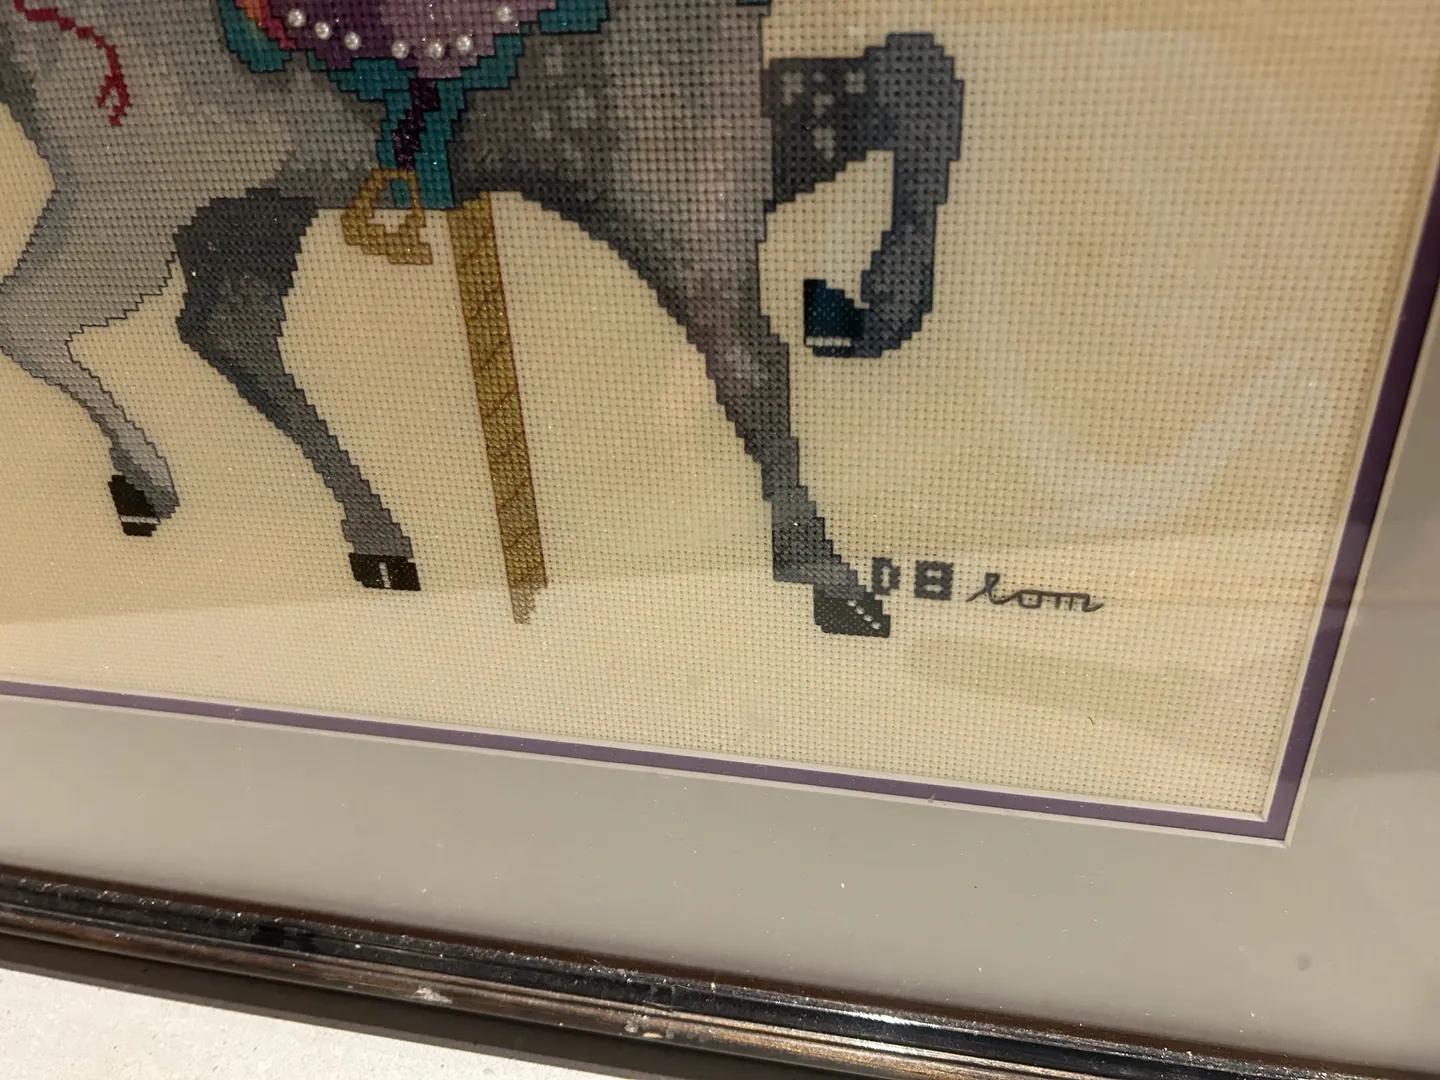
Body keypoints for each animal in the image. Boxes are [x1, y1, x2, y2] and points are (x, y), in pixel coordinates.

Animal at [0, 0, 962, 636]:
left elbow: (915, 68)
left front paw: (886, 295)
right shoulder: (667, 163)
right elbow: (749, 365)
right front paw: (831, 580)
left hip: (255, 195)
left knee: (225, 328)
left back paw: (381, 541)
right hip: (140, 189)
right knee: (33, 317)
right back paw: (148, 480)